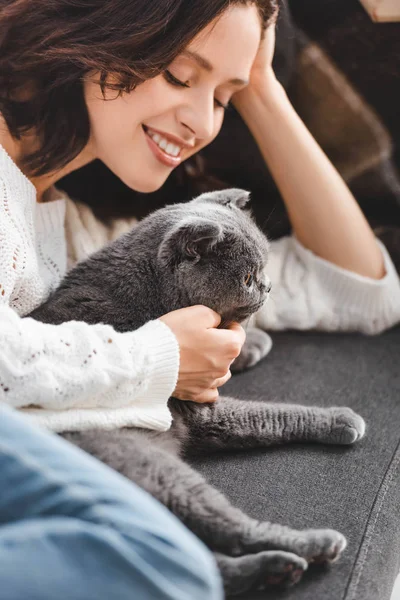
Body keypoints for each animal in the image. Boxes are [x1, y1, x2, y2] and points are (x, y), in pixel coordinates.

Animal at [29, 188, 368, 596]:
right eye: (248, 277)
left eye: (264, 269)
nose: (269, 286)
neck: (148, 300)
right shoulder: (202, 406)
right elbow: (275, 413)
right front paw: (340, 418)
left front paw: (252, 343)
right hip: (155, 470)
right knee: (230, 530)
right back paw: (315, 545)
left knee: (200, 562)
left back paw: (276, 568)